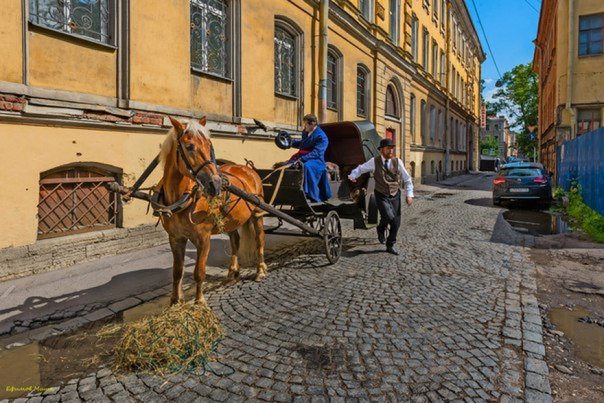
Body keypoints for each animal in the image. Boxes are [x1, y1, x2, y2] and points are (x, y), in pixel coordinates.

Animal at [158, 115, 266, 304]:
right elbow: (177, 272)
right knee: (235, 241)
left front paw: (199, 301)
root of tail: (247, 168)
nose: (215, 184)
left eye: (209, 145)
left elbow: (199, 272)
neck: (181, 198)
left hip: (257, 213)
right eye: (189, 146)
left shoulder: (203, 238)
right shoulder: (175, 238)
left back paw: (260, 270)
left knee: (259, 239)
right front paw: (175, 302)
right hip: (231, 220)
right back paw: (232, 273)